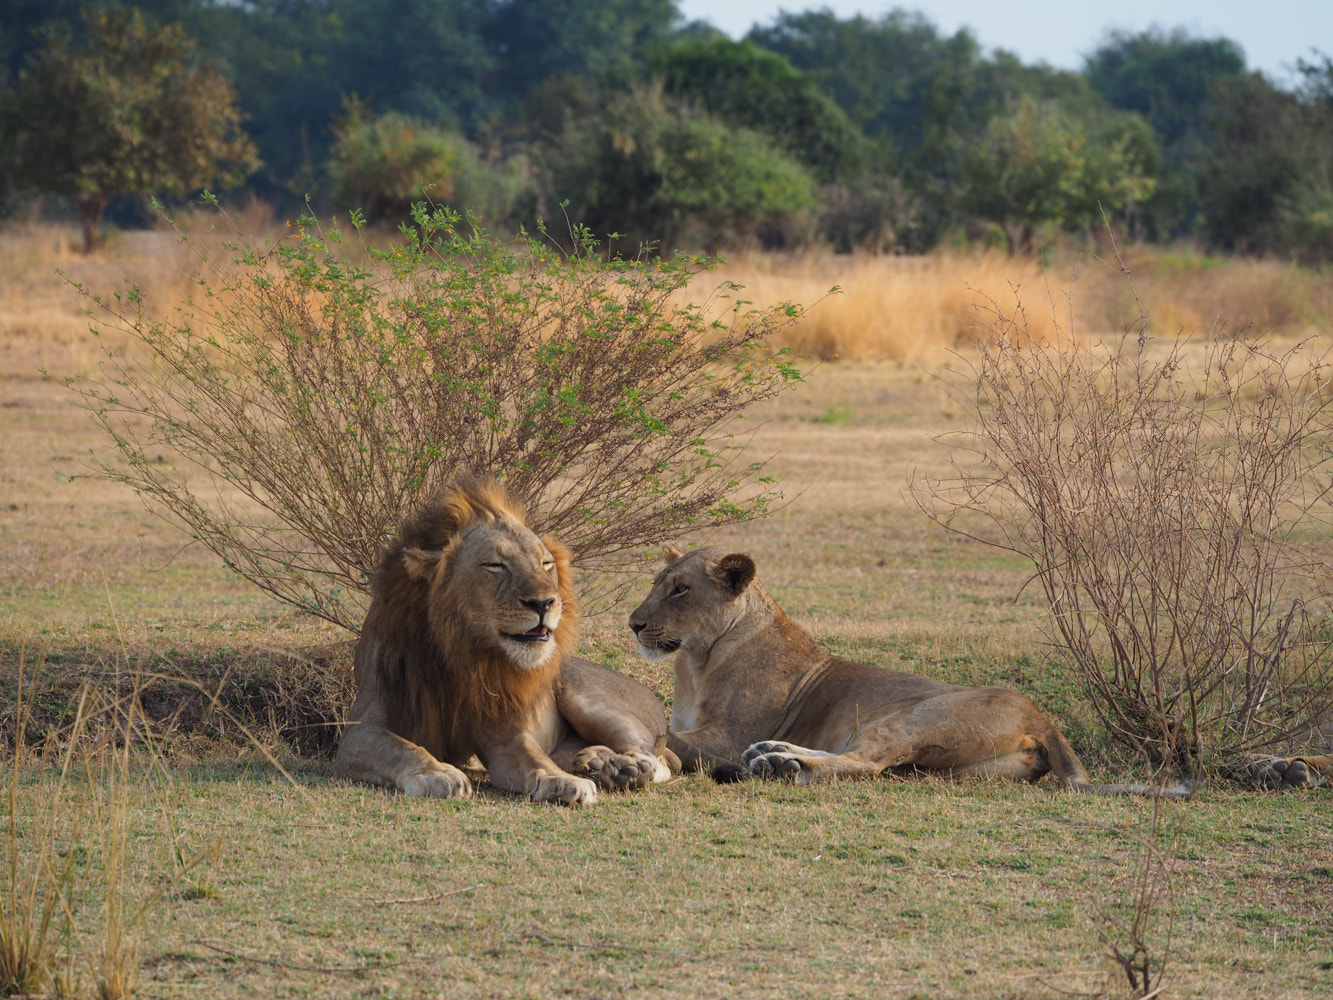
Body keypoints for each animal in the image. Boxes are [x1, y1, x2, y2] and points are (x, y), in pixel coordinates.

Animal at [334, 478, 678, 805]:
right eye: (495, 565)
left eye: (546, 564)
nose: (544, 603)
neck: (463, 651)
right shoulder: (361, 728)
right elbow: (401, 748)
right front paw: (436, 772)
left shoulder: (504, 734)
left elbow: (533, 758)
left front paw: (561, 781)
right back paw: (599, 763)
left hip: (586, 697)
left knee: (658, 761)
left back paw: (625, 768)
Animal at [628, 546, 1210, 796]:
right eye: (657, 583)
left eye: (680, 589)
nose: (633, 624)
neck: (696, 661)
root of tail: (1041, 718)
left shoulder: (728, 735)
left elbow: (676, 741)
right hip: (945, 767)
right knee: (871, 764)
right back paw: (775, 758)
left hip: (912, 717)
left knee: (866, 763)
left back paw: (778, 762)